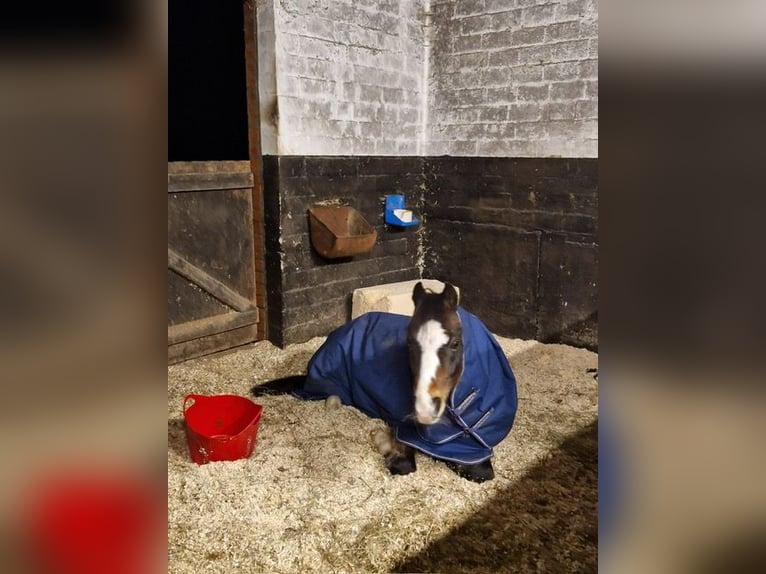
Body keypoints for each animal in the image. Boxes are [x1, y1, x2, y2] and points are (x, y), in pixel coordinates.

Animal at [255, 282, 520, 484]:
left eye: (455, 343)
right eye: (410, 342)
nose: (424, 410)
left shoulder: (471, 450)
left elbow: (481, 472)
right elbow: (404, 464)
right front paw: (384, 442)